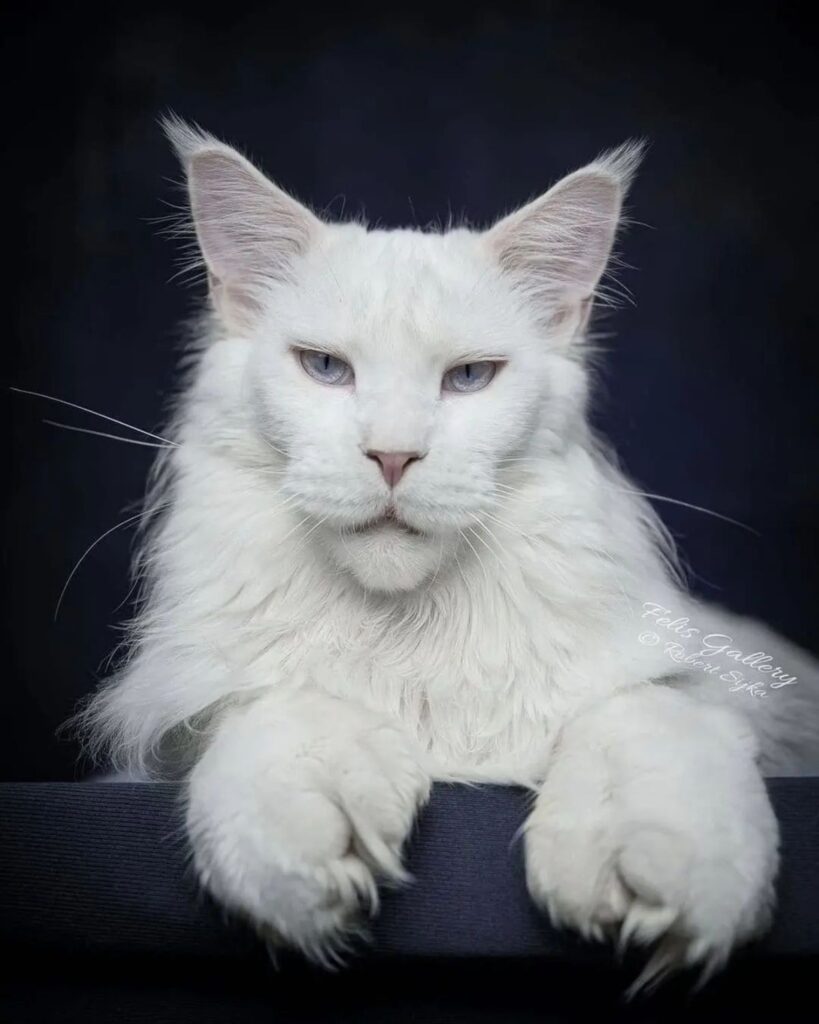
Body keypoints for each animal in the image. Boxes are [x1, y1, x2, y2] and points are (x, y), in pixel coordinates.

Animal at [81, 117, 818, 983]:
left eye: (469, 378)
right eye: (325, 368)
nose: (394, 457)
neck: (412, 633)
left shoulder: (703, 684)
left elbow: (647, 716)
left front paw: (662, 873)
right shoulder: (181, 725)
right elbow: (279, 710)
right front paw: (300, 857)